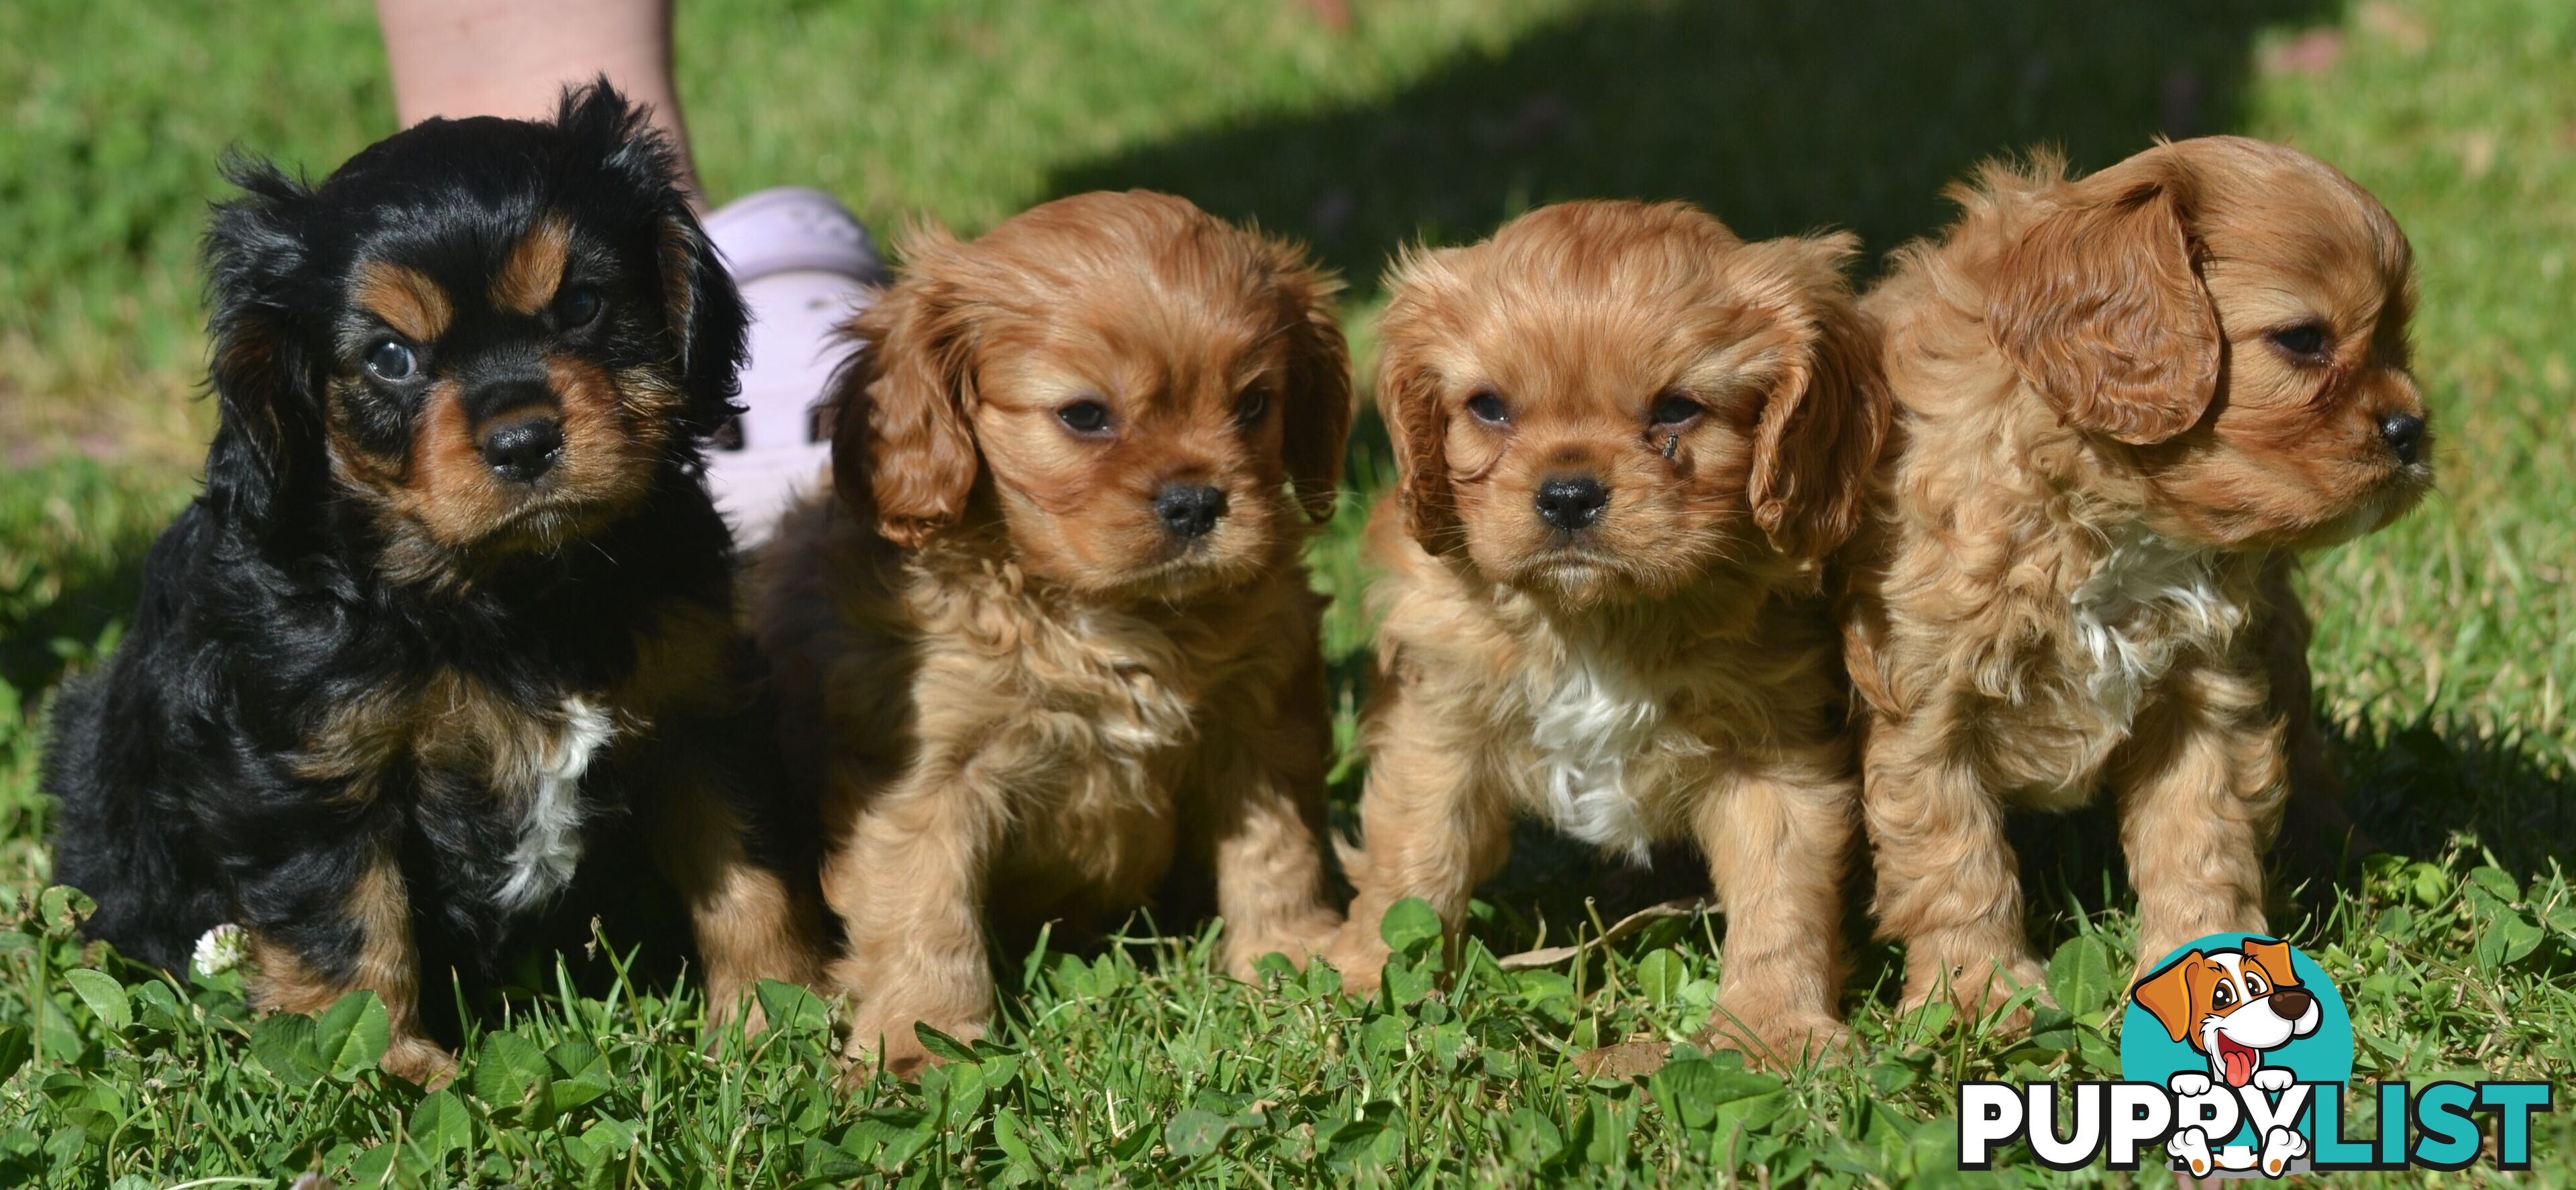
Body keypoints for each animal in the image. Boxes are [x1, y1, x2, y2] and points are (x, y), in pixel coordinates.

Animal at [45, 81, 819, 1087]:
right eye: (390, 357)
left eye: (581, 304)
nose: (524, 441)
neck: (507, 589)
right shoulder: (307, 768)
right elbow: (351, 924)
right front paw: (388, 1072)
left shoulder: (699, 704)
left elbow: (744, 864)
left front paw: (780, 1016)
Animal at [752, 191, 1360, 1071]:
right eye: (1085, 416)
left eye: (1253, 406)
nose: (1198, 502)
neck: (1106, 615)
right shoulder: (923, 776)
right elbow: (923, 907)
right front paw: (919, 1038)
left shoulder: (1258, 728)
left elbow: (1275, 852)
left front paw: (1292, 959)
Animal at [1329, 199, 1896, 1066]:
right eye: (1488, 407)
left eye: (1677, 408)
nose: (1568, 493)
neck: (1596, 622)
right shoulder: (1439, 724)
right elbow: (1416, 855)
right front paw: (1365, 979)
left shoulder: (1776, 757)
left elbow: (1780, 897)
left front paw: (1772, 1029)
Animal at [1844, 134, 2421, 1020]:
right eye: (2302, 339)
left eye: (2400, 334)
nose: (2411, 430)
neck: (2113, 513)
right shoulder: (1925, 700)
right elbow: (1955, 858)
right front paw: (1982, 994)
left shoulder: (2206, 690)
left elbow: (2200, 835)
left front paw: (2205, 961)